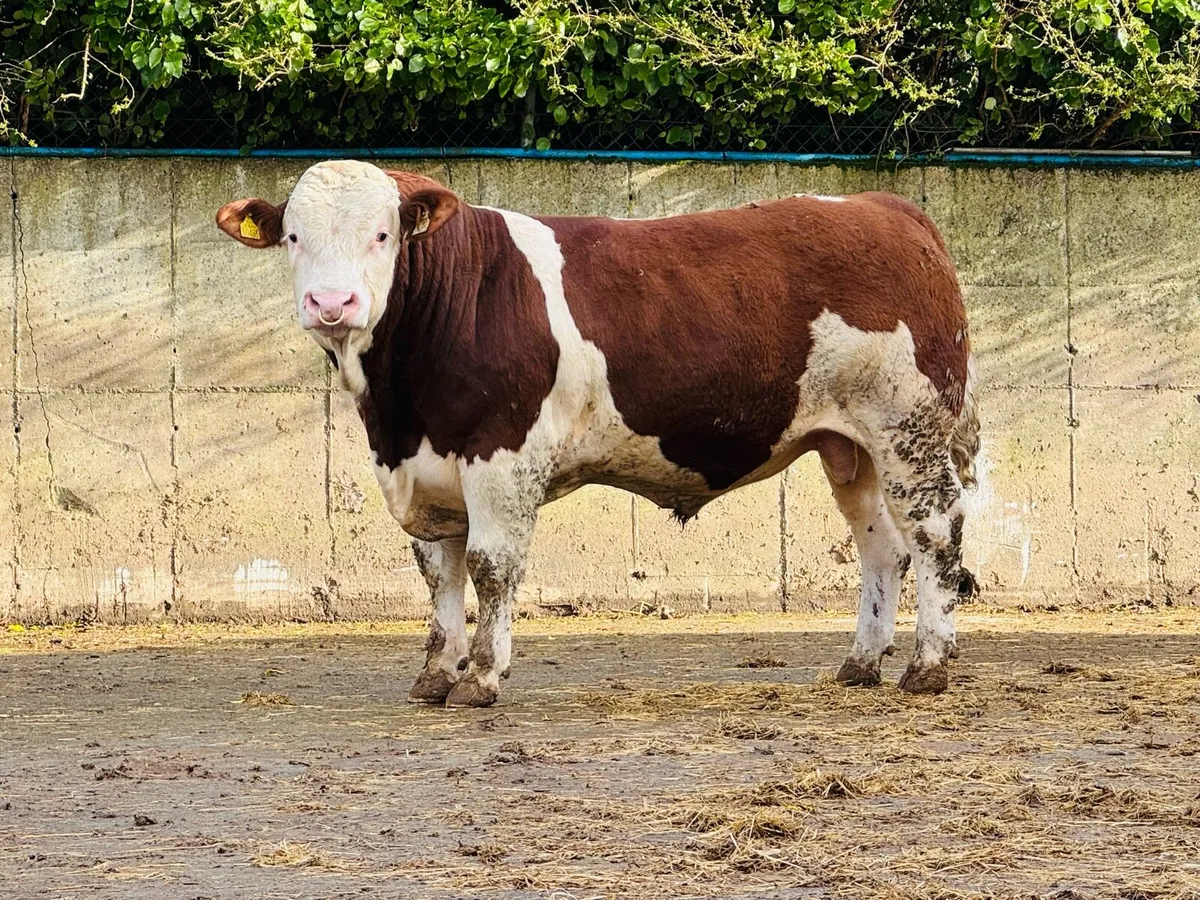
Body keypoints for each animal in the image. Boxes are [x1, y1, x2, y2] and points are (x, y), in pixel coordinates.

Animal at [216, 160, 979, 708]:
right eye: (293, 237)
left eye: (382, 235)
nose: (332, 303)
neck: (399, 408)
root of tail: (884, 206)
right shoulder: (421, 472)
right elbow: (440, 574)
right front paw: (436, 674)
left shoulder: (502, 458)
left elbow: (491, 568)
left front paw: (482, 677)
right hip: (849, 446)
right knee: (881, 546)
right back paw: (860, 664)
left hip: (908, 428)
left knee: (934, 535)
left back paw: (927, 667)